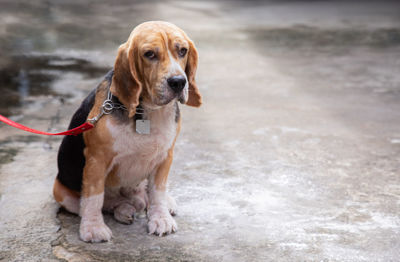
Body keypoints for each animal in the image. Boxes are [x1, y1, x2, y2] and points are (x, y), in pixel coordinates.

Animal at [52, 21, 202, 243]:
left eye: (182, 51)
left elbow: (158, 191)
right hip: (60, 191)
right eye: (149, 54)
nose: (178, 82)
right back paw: (123, 209)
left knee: (146, 194)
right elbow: (93, 197)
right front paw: (93, 228)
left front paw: (160, 218)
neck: (146, 110)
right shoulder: (97, 160)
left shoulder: (165, 156)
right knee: (102, 203)